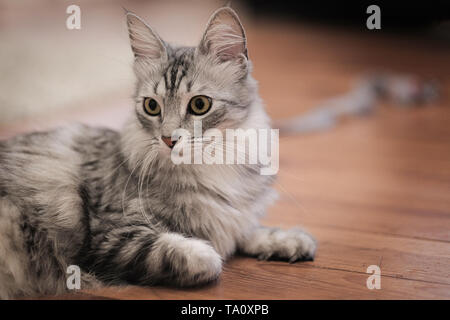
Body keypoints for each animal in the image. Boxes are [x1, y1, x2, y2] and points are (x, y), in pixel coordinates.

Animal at [0, 6, 316, 298]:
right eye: (152, 106)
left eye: (200, 104)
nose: (168, 139)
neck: (211, 166)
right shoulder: (111, 236)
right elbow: (188, 253)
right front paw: (210, 252)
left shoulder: (236, 216)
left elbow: (248, 229)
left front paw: (288, 240)